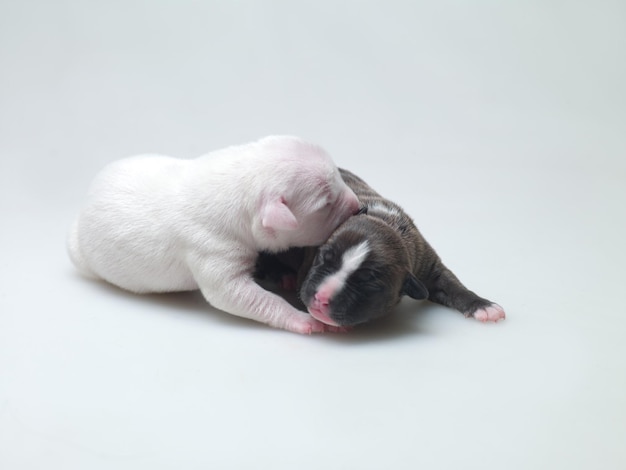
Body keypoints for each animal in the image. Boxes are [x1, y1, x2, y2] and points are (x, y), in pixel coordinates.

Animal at [66, 135, 358, 334]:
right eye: (326, 203)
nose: (359, 205)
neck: (241, 182)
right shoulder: (212, 252)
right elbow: (235, 296)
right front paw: (304, 319)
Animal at [294, 168, 504, 326]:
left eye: (367, 282)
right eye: (322, 257)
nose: (321, 297)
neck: (385, 221)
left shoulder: (428, 262)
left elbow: (452, 285)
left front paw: (482, 305)